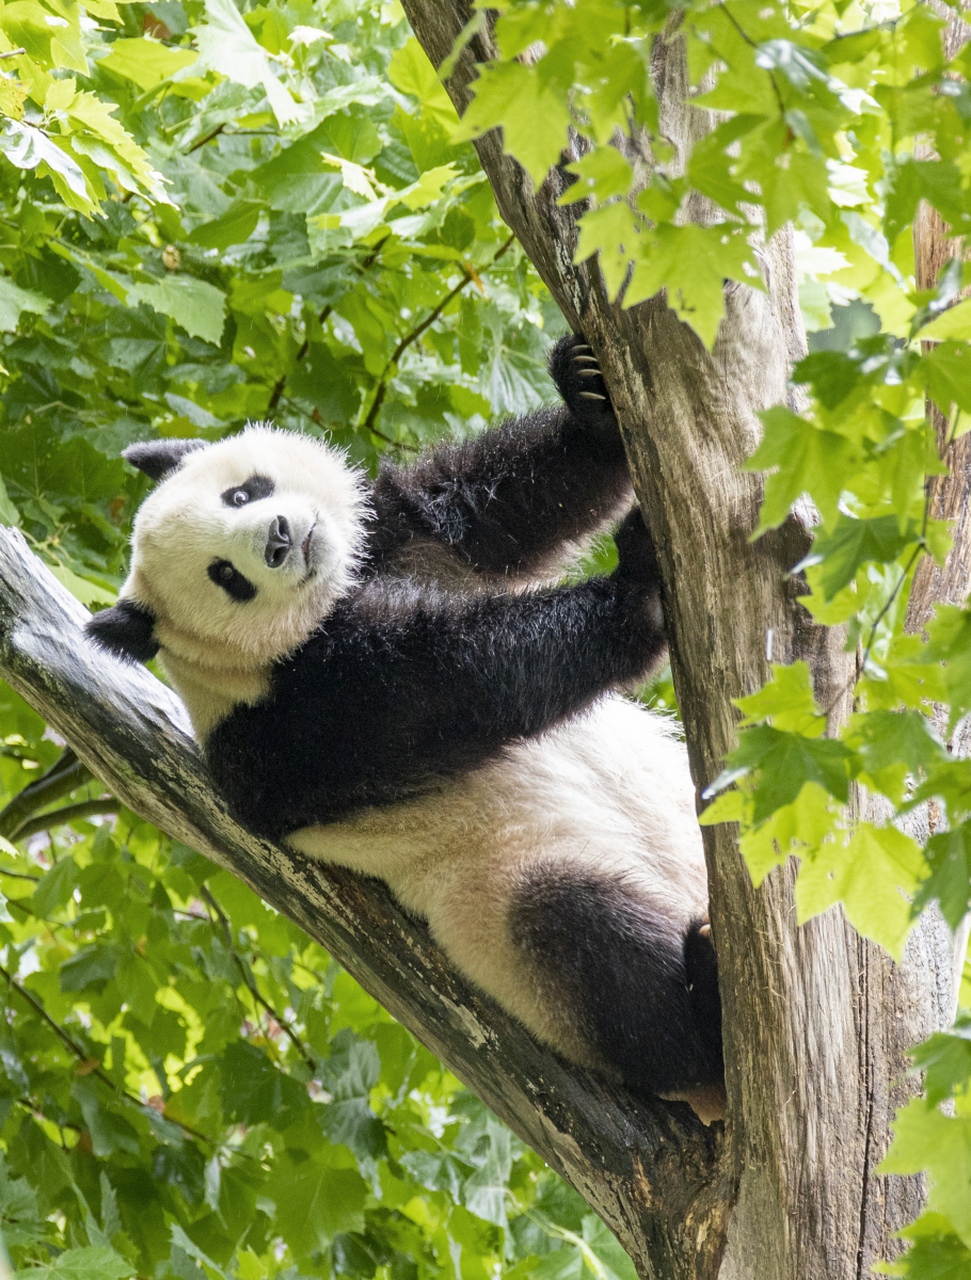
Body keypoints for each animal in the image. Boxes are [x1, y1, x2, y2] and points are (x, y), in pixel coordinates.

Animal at [90, 337, 726, 1121]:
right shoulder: (288, 727)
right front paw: (632, 596)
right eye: (223, 576)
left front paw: (586, 391)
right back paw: (704, 1002)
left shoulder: (401, 537)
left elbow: (503, 501)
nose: (279, 539)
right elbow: (449, 688)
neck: (325, 608)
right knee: (588, 944)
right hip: (504, 894)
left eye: (241, 494)